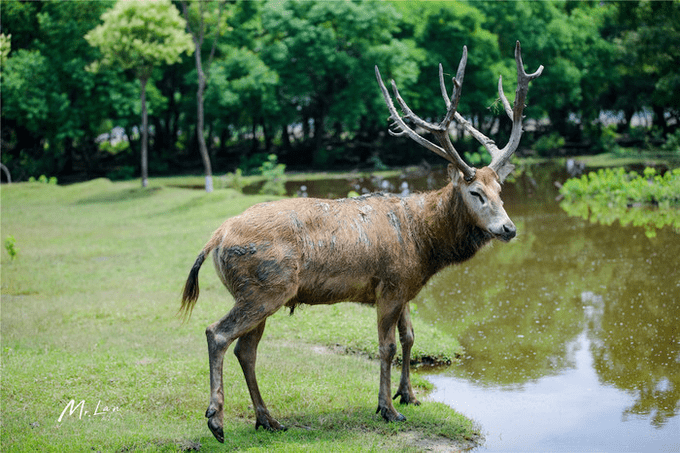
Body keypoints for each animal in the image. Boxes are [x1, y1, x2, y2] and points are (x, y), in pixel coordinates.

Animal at [179, 39, 540, 442]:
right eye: (476, 193)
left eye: (501, 190)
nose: (508, 228)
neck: (424, 244)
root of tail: (216, 236)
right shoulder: (391, 285)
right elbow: (386, 346)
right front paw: (387, 409)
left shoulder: (406, 287)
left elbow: (410, 337)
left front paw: (408, 395)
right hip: (266, 287)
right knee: (218, 333)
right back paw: (216, 421)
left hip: (255, 292)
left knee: (246, 349)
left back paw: (268, 419)